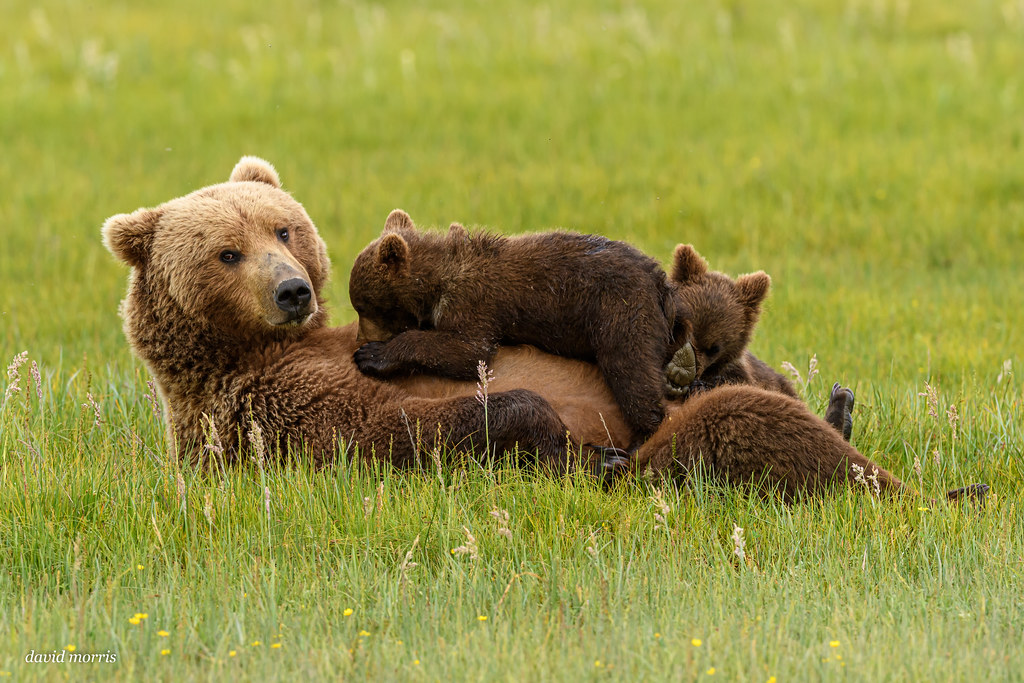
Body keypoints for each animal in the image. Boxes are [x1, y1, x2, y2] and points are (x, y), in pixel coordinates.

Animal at [348, 209, 691, 443]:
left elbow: (468, 351)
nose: (358, 339)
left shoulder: (474, 302)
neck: (436, 281)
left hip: (622, 312)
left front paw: (374, 355)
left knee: (631, 373)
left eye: (362, 306)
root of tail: (660, 283)